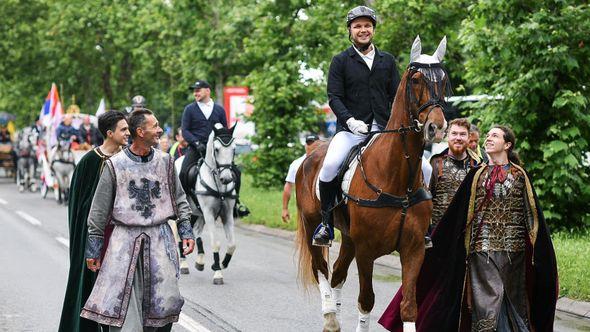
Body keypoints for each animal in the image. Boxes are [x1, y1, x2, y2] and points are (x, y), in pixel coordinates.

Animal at [176, 124, 238, 286]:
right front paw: (218, 273)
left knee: (197, 233)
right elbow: (215, 243)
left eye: (234, 149)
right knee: (179, 235)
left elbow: (232, 244)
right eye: (216, 149)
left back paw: (200, 261)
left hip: (198, 214)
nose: (226, 178)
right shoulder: (209, 213)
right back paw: (183, 264)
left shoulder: (227, 214)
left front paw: (222, 264)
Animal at [296, 35, 454, 330]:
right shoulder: (366, 251)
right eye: (416, 80)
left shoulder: (414, 250)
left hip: (348, 238)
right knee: (320, 269)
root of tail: (310, 155)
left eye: (442, 80)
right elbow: (366, 300)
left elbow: (409, 307)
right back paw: (330, 317)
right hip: (313, 225)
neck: (398, 178)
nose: (436, 128)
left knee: (337, 273)